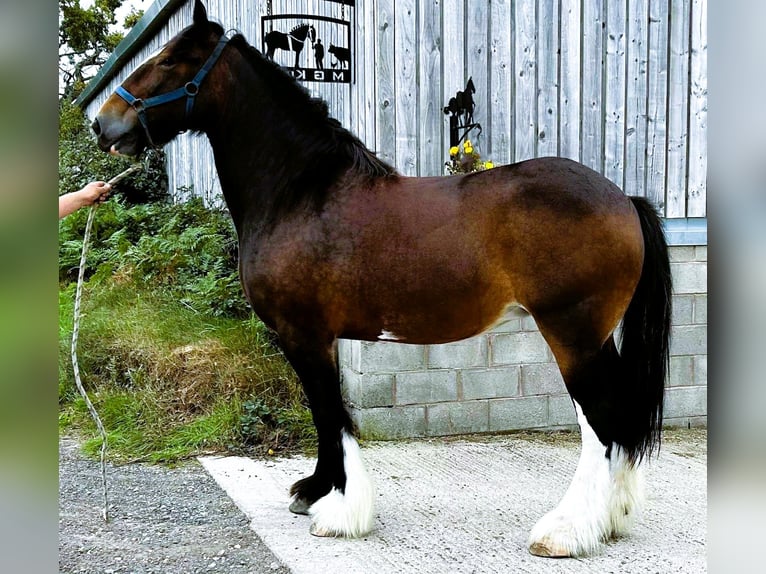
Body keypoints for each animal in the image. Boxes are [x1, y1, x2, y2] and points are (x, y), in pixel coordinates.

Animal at [92, 0, 672, 558]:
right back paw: (612, 518)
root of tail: (623, 198)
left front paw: (339, 511)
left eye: (171, 61)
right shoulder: (317, 337)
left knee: (600, 425)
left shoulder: (303, 334)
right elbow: (324, 414)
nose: (103, 123)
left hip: (571, 335)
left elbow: (329, 412)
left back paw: (565, 532)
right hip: (596, 339)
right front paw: (314, 490)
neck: (302, 193)